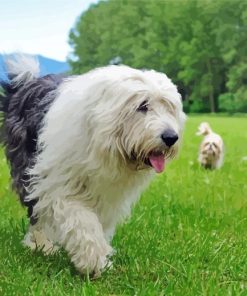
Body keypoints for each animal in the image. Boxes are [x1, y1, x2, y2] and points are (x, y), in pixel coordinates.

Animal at [0, 55, 186, 276]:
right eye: (142, 105)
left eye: (169, 107)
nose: (171, 137)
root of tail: (26, 81)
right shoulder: (59, 185)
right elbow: (81, 221)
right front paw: (93, 260)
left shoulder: (107, 196)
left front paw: (98, 256)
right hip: (28, 172)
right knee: (36, 212)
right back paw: (41, 245)